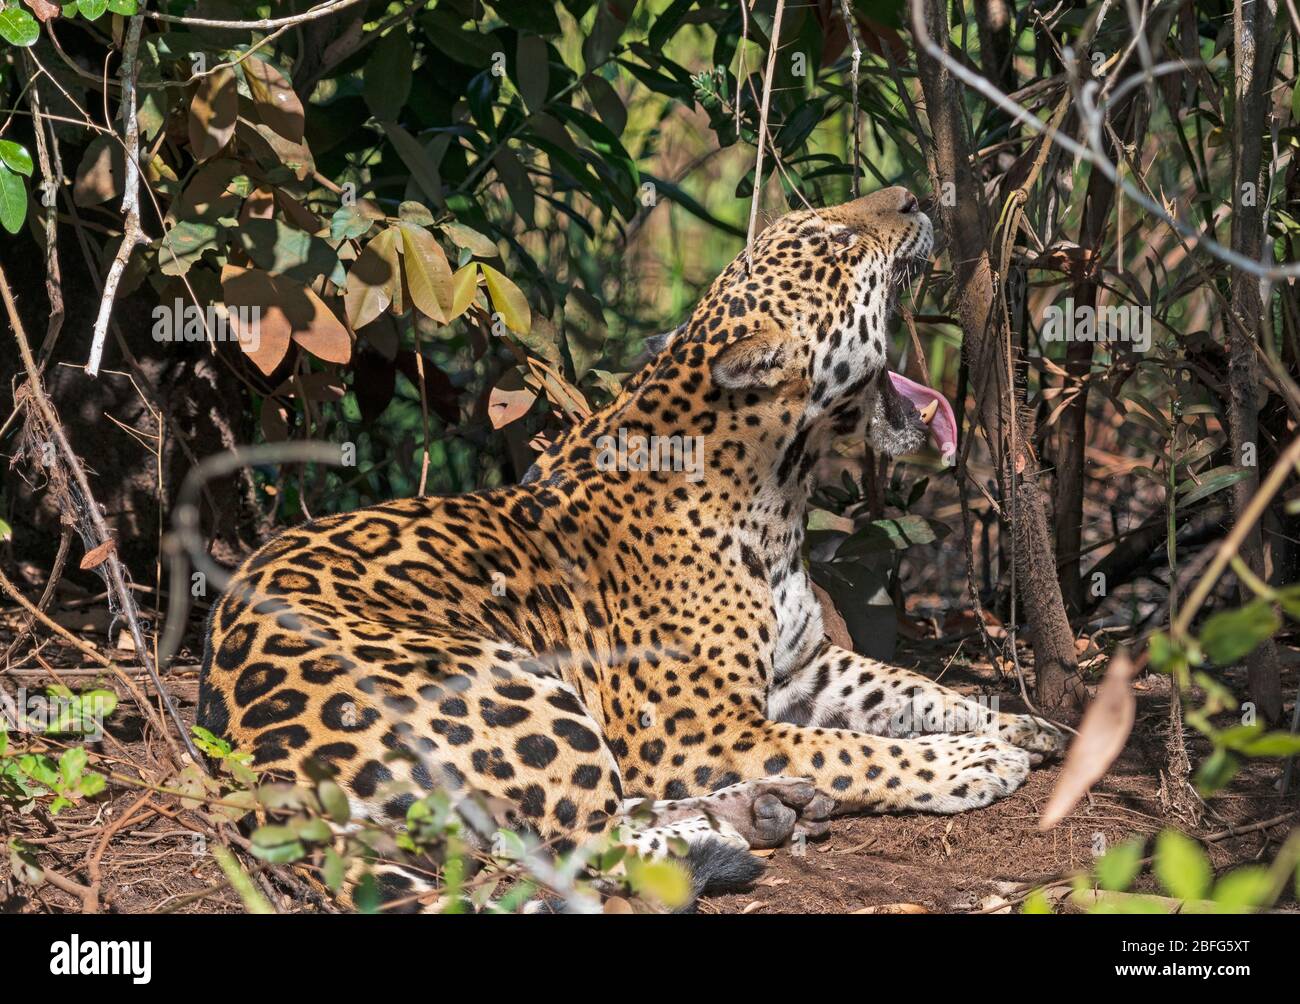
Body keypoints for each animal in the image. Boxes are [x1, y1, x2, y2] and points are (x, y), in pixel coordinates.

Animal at [197, 186, 1067, 908]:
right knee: (566, 844)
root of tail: (265, 771)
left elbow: (912, 691)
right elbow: (852, 750)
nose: (916, 196)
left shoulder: (805, 667)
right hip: (518, 686)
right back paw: (725, 832)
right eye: (835, 240)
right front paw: (972, 763)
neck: (778, 489)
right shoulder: (701, 729)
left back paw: (763, 808)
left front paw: (1013, 723)